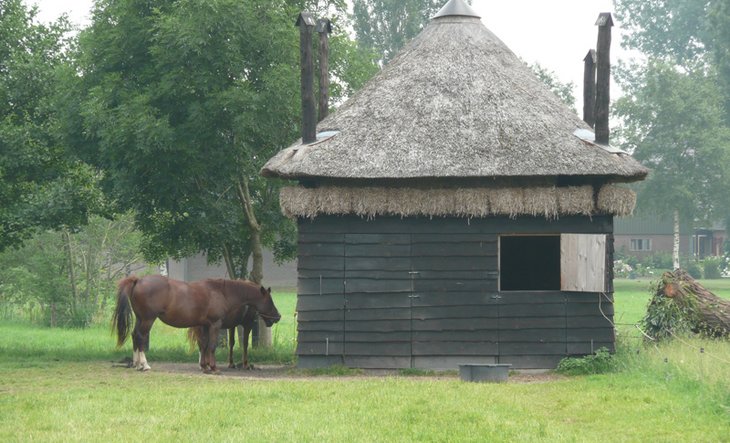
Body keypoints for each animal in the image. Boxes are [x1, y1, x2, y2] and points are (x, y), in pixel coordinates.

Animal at [112, 276, 280, 372]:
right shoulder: (215, 325)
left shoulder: (204, 326)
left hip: (141, 319)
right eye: (269, 301)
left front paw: (204, 366)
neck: (221, 292)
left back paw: (136, 364)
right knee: (141, 337)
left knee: (135, 335)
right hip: (148, 319)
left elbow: (204, 345)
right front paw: (213, 368)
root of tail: (138, 280)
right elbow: (211, 346)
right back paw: (144, 365)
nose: (277, 316)